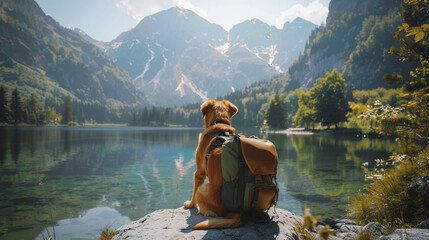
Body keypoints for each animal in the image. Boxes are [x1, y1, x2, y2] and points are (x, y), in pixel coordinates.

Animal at [183, 100, 244, 231]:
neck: (219, 123)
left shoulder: (199, 173)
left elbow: (193, 194)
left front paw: (190, 205)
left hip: (202, 189)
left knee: (211, 210)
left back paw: (207, 212)